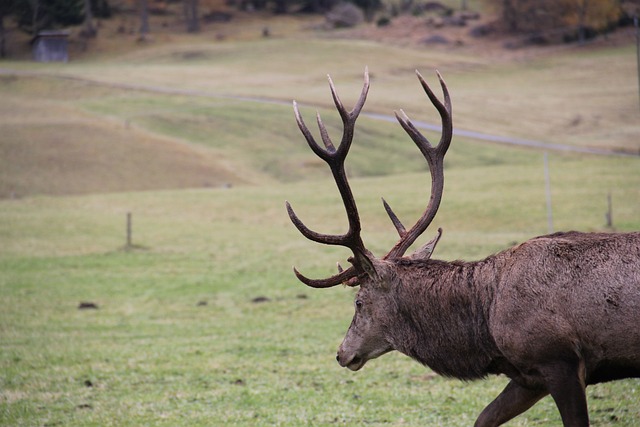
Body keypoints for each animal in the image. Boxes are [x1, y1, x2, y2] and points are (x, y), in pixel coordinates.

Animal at [285, 68, 640, 427]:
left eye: (358, 302)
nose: (342, 353)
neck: (487, 325)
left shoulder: (558, 360)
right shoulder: (529, 376)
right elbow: (484, 418)